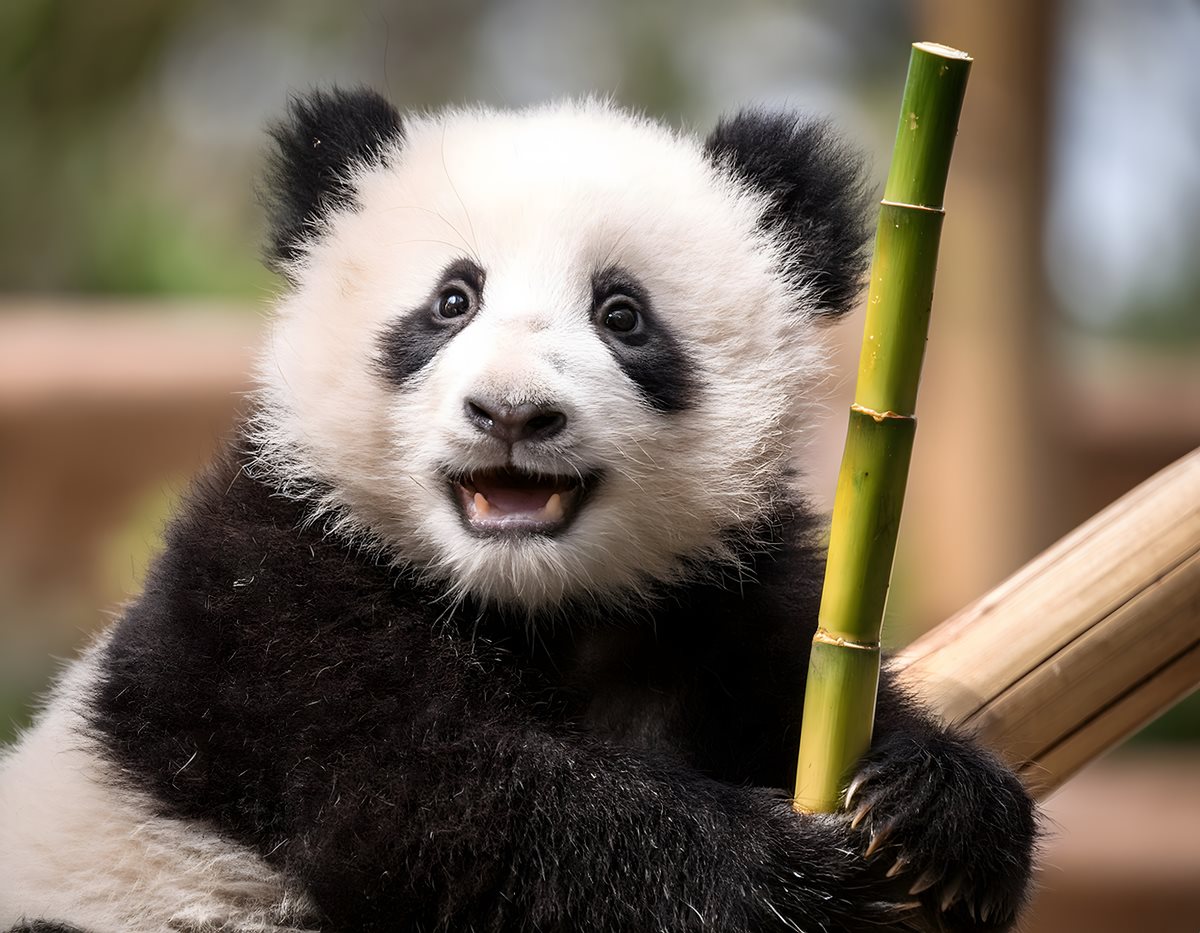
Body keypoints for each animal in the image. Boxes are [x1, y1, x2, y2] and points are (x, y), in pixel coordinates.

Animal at [0, 89, 1036, 933]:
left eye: (623, 315)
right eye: (453, 300)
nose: (512, 412)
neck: (528, 599)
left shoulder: (723, 594)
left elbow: (805, 681)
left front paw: (938, 810)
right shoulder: (276, 597)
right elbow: (447, 804)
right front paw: (789, 876)